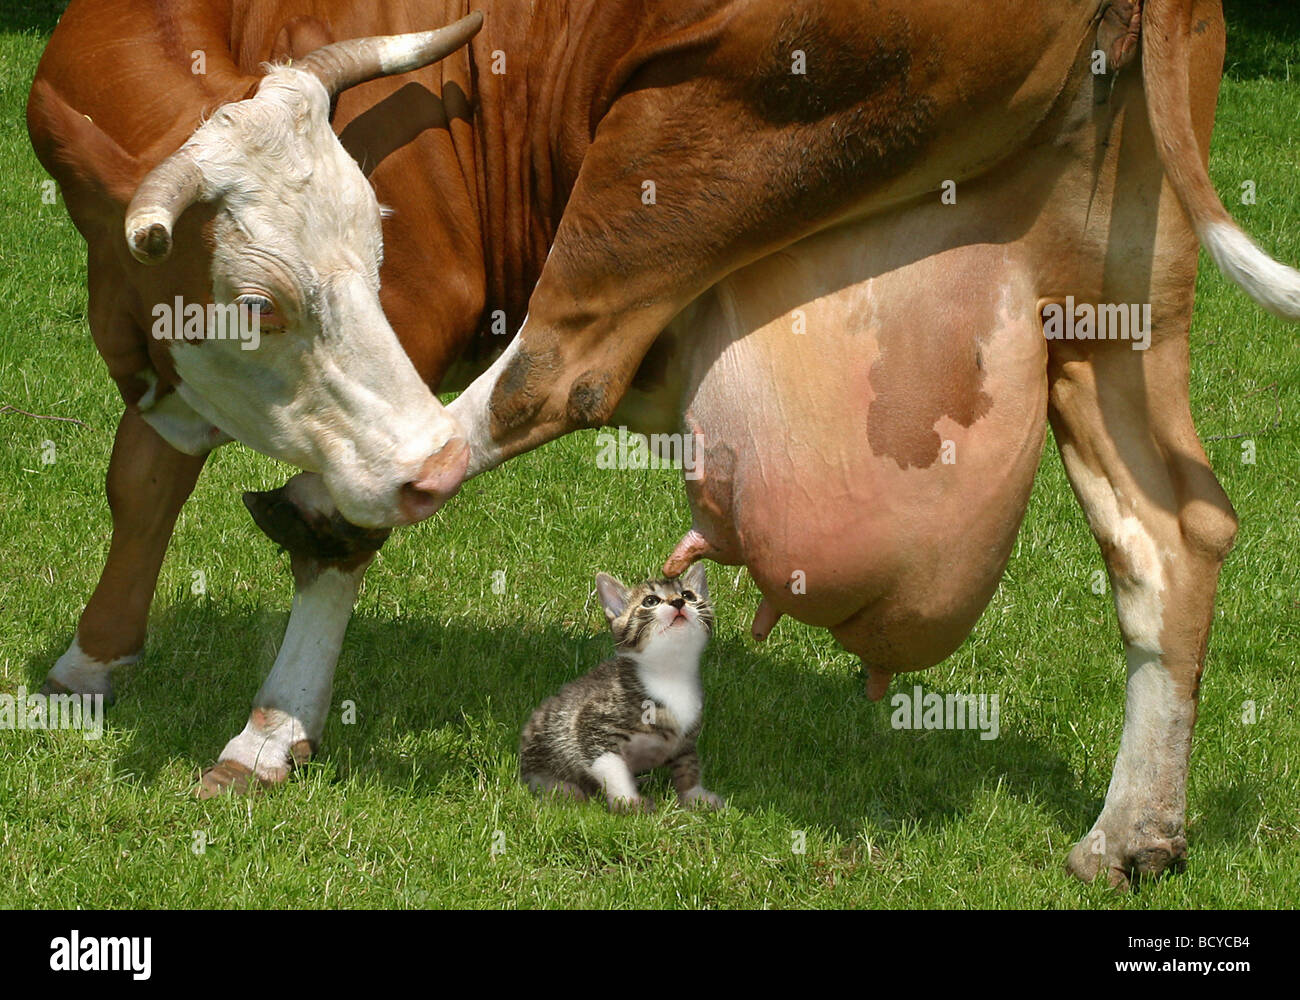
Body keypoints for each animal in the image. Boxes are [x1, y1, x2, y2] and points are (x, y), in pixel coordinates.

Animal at [517, 561, 722, 811]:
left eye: (688, 595)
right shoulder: (592, 726)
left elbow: (688, 765)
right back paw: (564, 789)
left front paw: (695, 796)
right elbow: (611, 765)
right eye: (650, 601)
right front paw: (629, 801)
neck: (669, 675)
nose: (678, 602)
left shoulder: (686, 740)